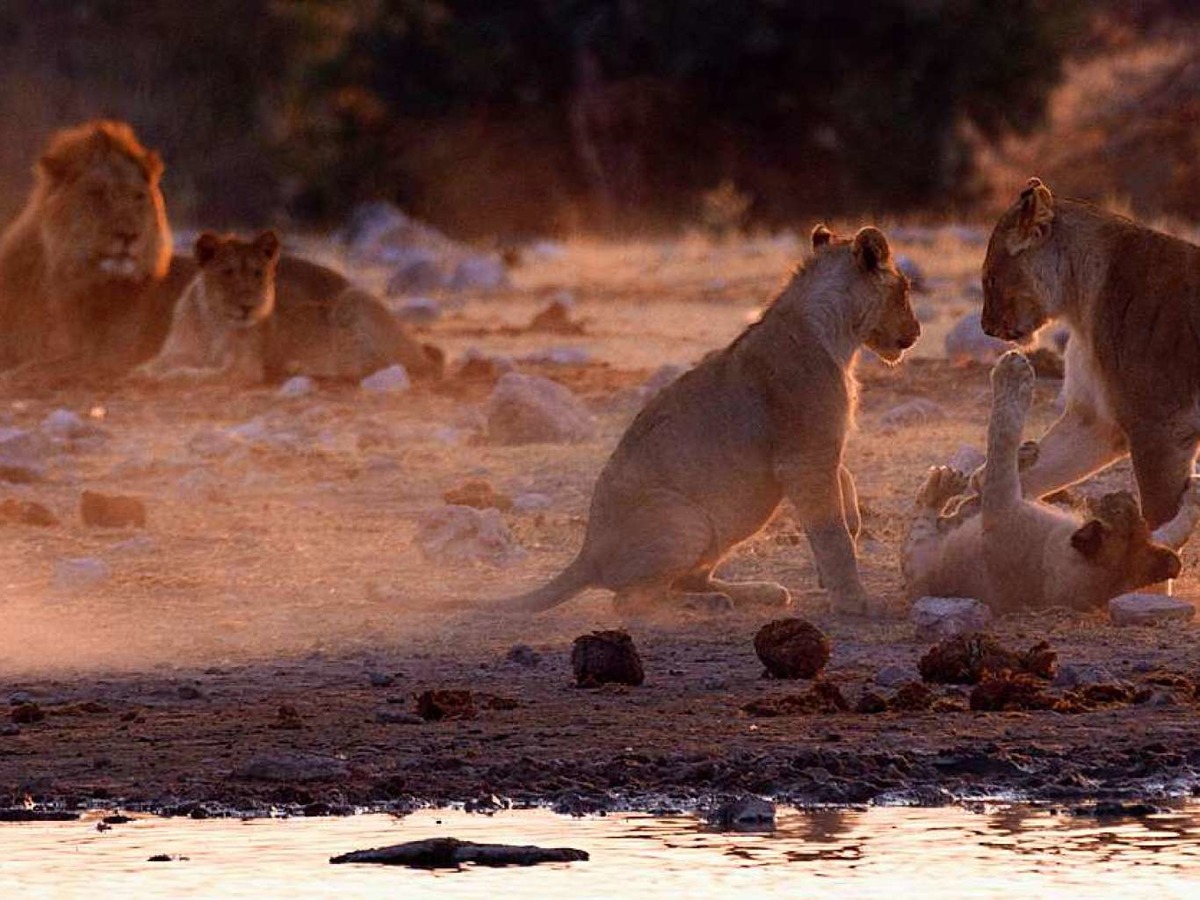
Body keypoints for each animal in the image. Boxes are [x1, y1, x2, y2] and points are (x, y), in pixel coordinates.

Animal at [136, 229, 444, 384]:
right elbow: (160, 362)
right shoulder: (179, 350)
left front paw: (171, 376)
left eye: (258, 273)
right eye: (228, 272)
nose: (249, 306)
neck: (215, 322)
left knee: (380, 366)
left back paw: (300, 368)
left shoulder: (245, 367)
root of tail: (417, 347)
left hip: (353, 299)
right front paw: (145, 371)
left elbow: (204, 374)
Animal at [902, 352, 1195, 614]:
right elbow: (1173, 532)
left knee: (931, 516)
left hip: (918, 555)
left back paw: (944, 483)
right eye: (1129, 510)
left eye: (1118, 510)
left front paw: (1012, 374)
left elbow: (1001, 436)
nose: (1122, 494)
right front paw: (1194, 494)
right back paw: (1023, 454)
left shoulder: (1002, 508)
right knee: (970, 502)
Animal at [979, 177, 1200, 528]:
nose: (985, 327)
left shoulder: (1162, 427)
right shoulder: (1096, 421)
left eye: (989, 279)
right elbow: (1042, 467)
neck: (1079, 304)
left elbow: (1159, 517)